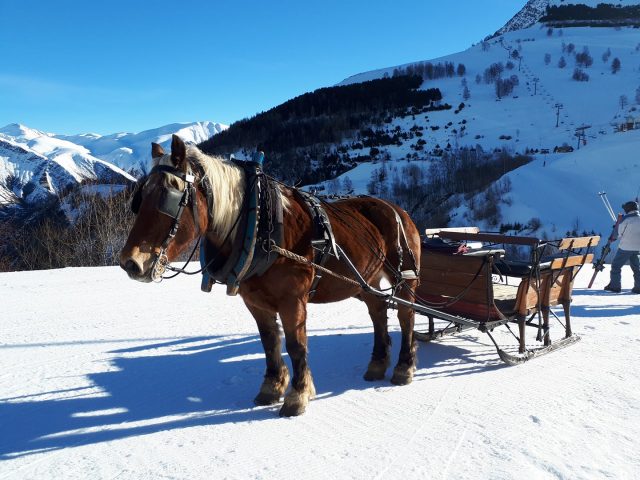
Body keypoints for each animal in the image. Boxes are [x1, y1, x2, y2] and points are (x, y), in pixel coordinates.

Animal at [119, 135, 420, 416]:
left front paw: (298, 396)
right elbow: (269, 342)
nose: (130, 263)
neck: (259, 225)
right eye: (140, 199)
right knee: (378, 312)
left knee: (406, 316)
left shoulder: (293, 301)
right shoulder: (255, 301)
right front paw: (271, 388)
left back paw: (403, 367)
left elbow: (296, 345)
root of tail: (398, 209)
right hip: (366, 281)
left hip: (405, 277)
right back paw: (377, 364)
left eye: (169, 197)